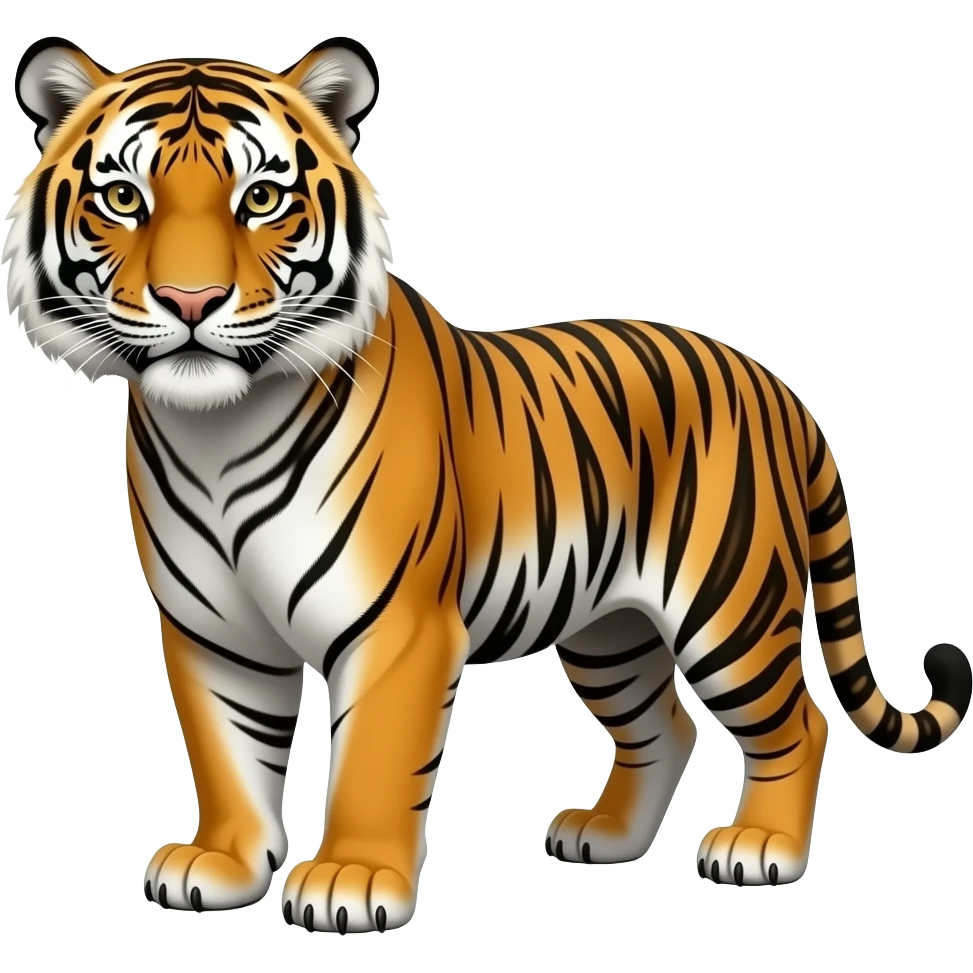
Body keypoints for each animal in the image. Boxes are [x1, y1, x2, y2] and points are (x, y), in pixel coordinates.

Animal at [5, 34, 970, 935]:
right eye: (123, 198)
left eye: (263, 199)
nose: (190, 301)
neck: (216, 429)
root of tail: (775, 385)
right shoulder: (212, 629)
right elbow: (227, 751)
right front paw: (222, 862)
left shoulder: (397, 624)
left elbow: (373, 759)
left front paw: (351, 879)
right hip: (608, 629)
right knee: (666, 724)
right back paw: (605, 837)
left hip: (729, 608)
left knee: (798, 722)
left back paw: (761, 847)